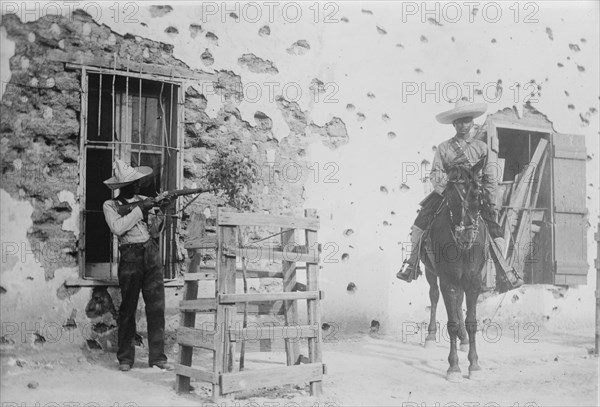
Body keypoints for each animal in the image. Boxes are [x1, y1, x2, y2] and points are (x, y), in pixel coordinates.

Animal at [420, 160, 490, 382]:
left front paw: (474, 364)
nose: (466, 236)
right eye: (449, 195)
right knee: (434, 296)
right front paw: (453, 367)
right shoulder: (448, 281)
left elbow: (471, 322)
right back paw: (431, 335)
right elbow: (451, 323)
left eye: (477, 193)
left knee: (459, 305)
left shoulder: (474, 281)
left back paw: (464, 339)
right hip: (431, 272)